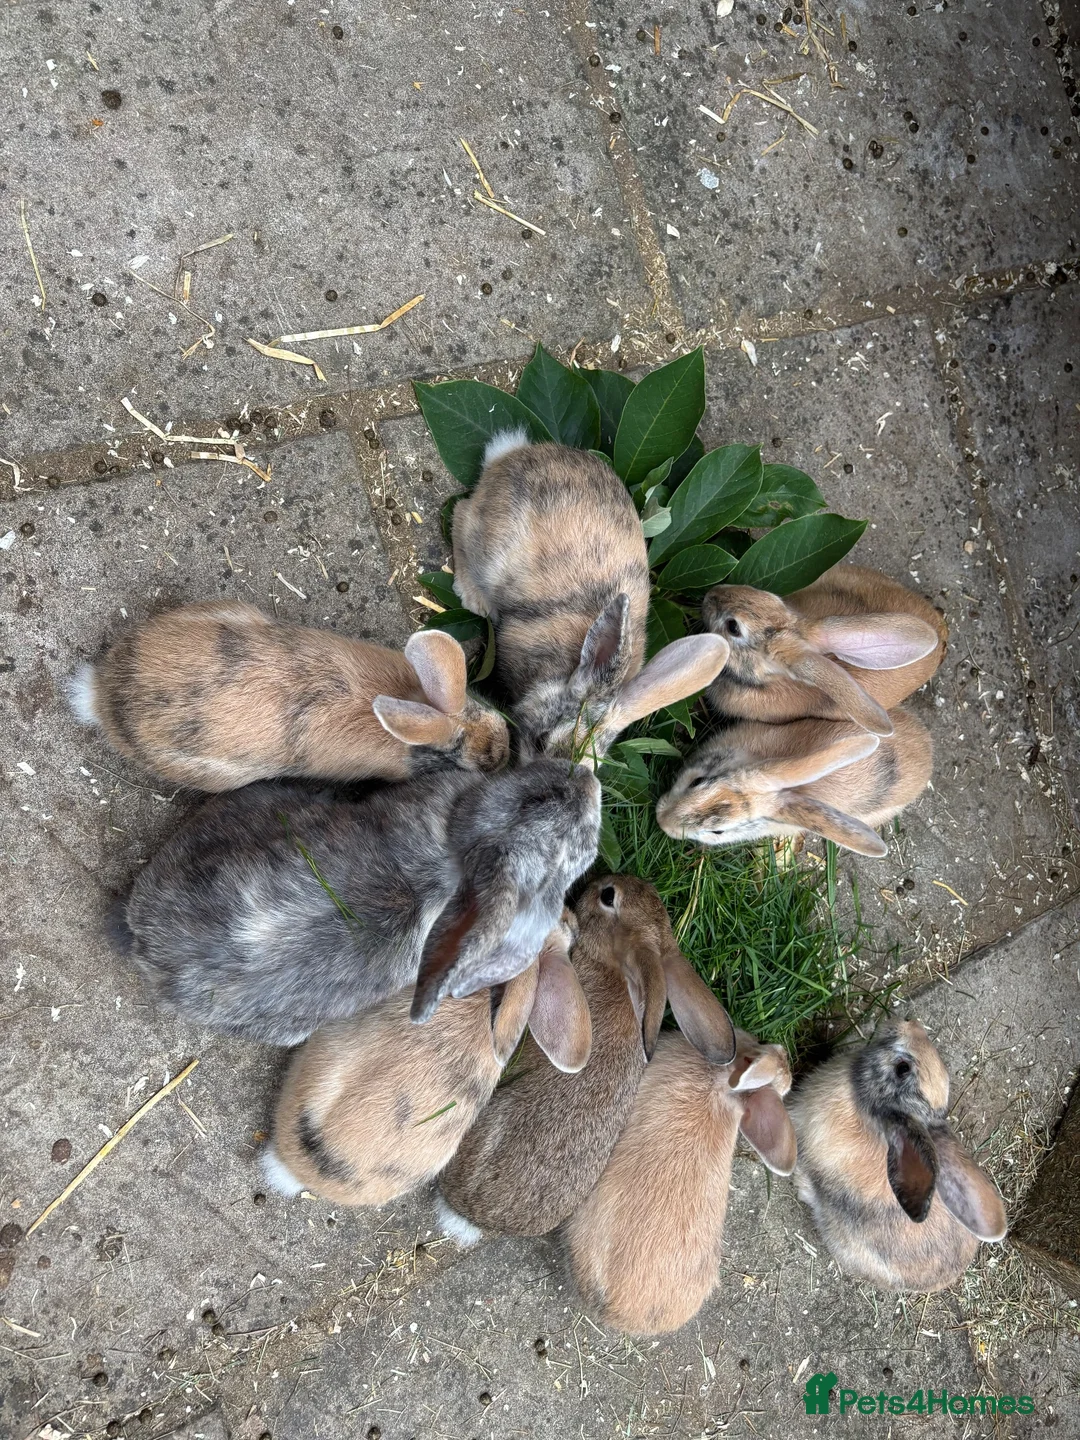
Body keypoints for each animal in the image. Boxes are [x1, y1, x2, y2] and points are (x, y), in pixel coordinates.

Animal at [451, 433, 730, 762]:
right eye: (541, 741)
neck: (568, 671)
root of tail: (511, 454)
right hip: (488, 548)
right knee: (460, 513)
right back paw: (474, 598)